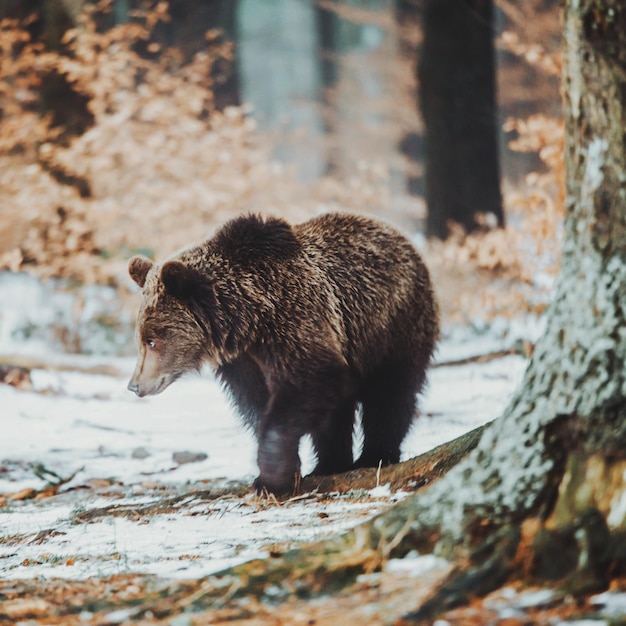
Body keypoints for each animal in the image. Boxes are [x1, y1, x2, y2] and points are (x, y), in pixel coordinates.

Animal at [127, 212, 438, 494]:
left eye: (151, 340)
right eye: (140, 339)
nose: (134, 385)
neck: (249, 320)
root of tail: (400, 237)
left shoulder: (295, 323)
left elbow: (308, 384)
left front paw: (272, 478)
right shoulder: (242, 362)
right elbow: (258, 404)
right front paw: (285, 472)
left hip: (392, 325)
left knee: (390, 394)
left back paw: (375, 457)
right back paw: (330, 464)